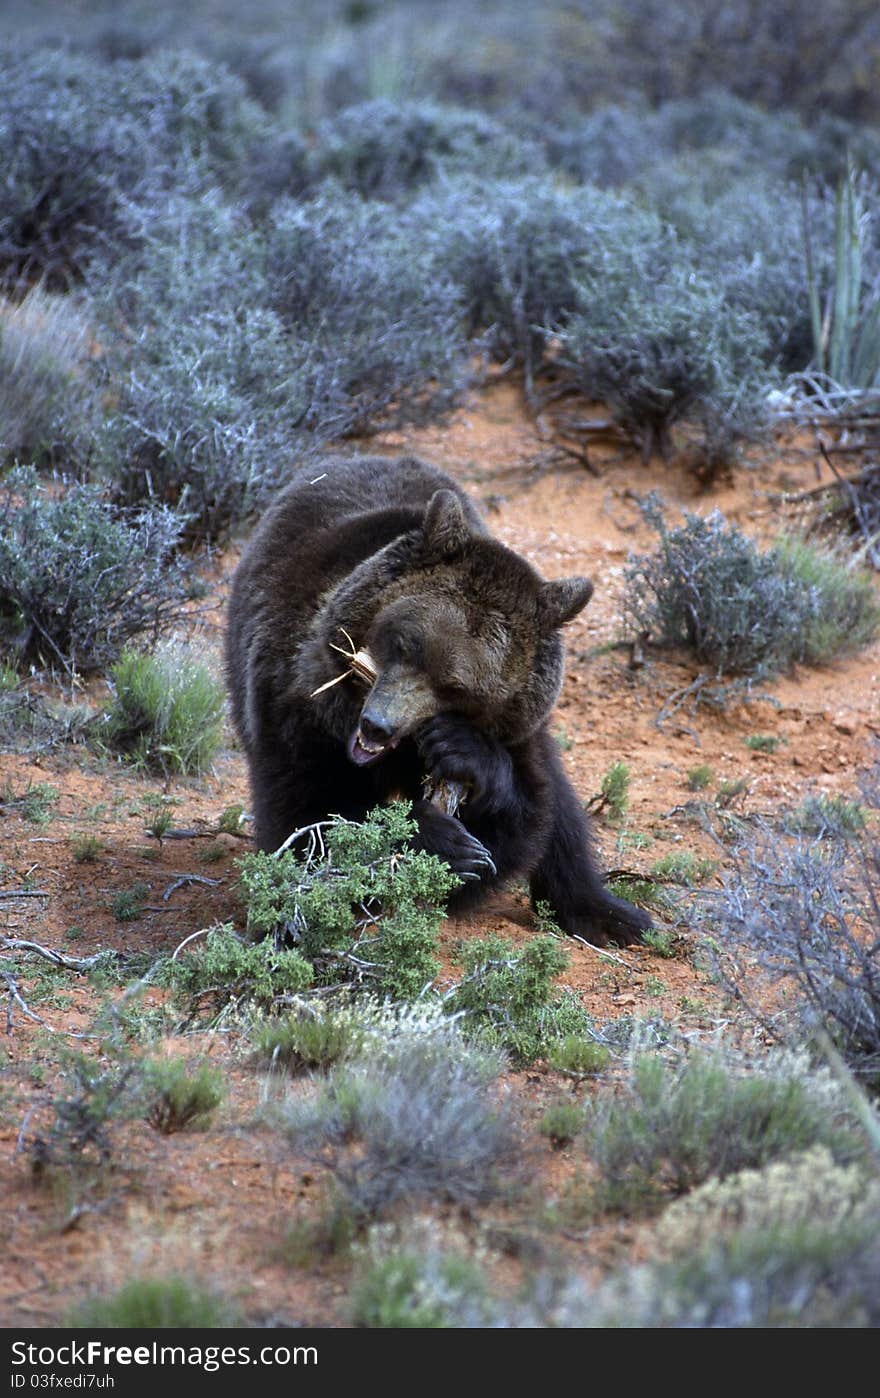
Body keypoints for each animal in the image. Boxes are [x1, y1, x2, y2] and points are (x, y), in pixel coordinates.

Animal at [225, 458, 651, 950]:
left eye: (456, 688)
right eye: (405, 643)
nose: (377, 725)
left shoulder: (516, 731)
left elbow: (526, 815)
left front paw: (463, 762)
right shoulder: (294, 705)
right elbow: (305, 819)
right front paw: (440, 841)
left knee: (563, 816)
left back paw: (608, 914)